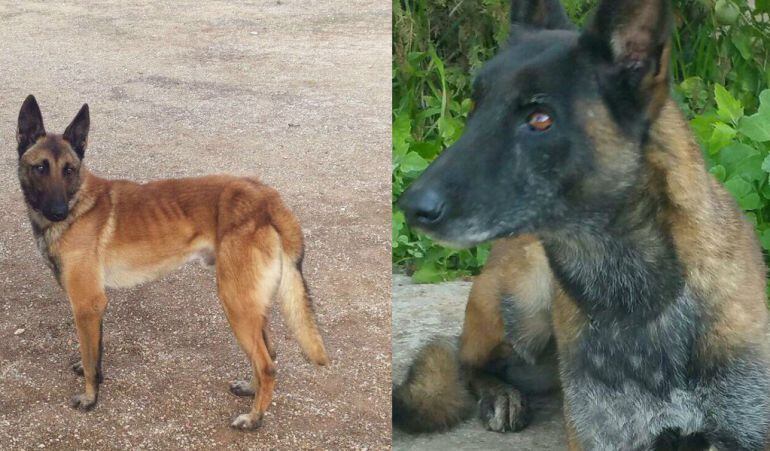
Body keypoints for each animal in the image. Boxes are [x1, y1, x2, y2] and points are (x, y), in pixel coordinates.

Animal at [15, 95, 328, 430]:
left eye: (69, 170)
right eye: (40, 167)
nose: (59, 212)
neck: (79, 204)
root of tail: (267, 197)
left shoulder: (87, 303)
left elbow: (89, 358)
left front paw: (90, 397)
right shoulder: (95, 305)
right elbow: (95, 351)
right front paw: (96, 378)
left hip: (236, 302)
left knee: (267, 365)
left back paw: (254, 418)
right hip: (251, 302)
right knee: (268, 351)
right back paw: (251, 389)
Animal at [392, 0, 768, 448]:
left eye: (540, 119)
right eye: (474, 110)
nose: (410, 207)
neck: (639, 301)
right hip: (524, 301)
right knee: (468, 362)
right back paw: (500, 394)